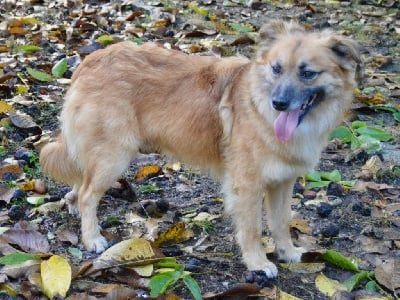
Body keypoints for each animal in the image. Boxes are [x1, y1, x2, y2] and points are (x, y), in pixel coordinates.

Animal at [39, 21, 360, 278]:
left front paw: (288, 252)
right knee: (88, 194)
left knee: (80, 183)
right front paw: (257, 263)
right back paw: (91, 237)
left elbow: (281, 222)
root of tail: (89, 61)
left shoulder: (283, 182)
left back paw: (73, 207)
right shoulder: (247, 185)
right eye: (276, 69)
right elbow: (253, 229)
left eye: (308, 73)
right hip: (113, 157)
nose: (278, 104)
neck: (260, 107)